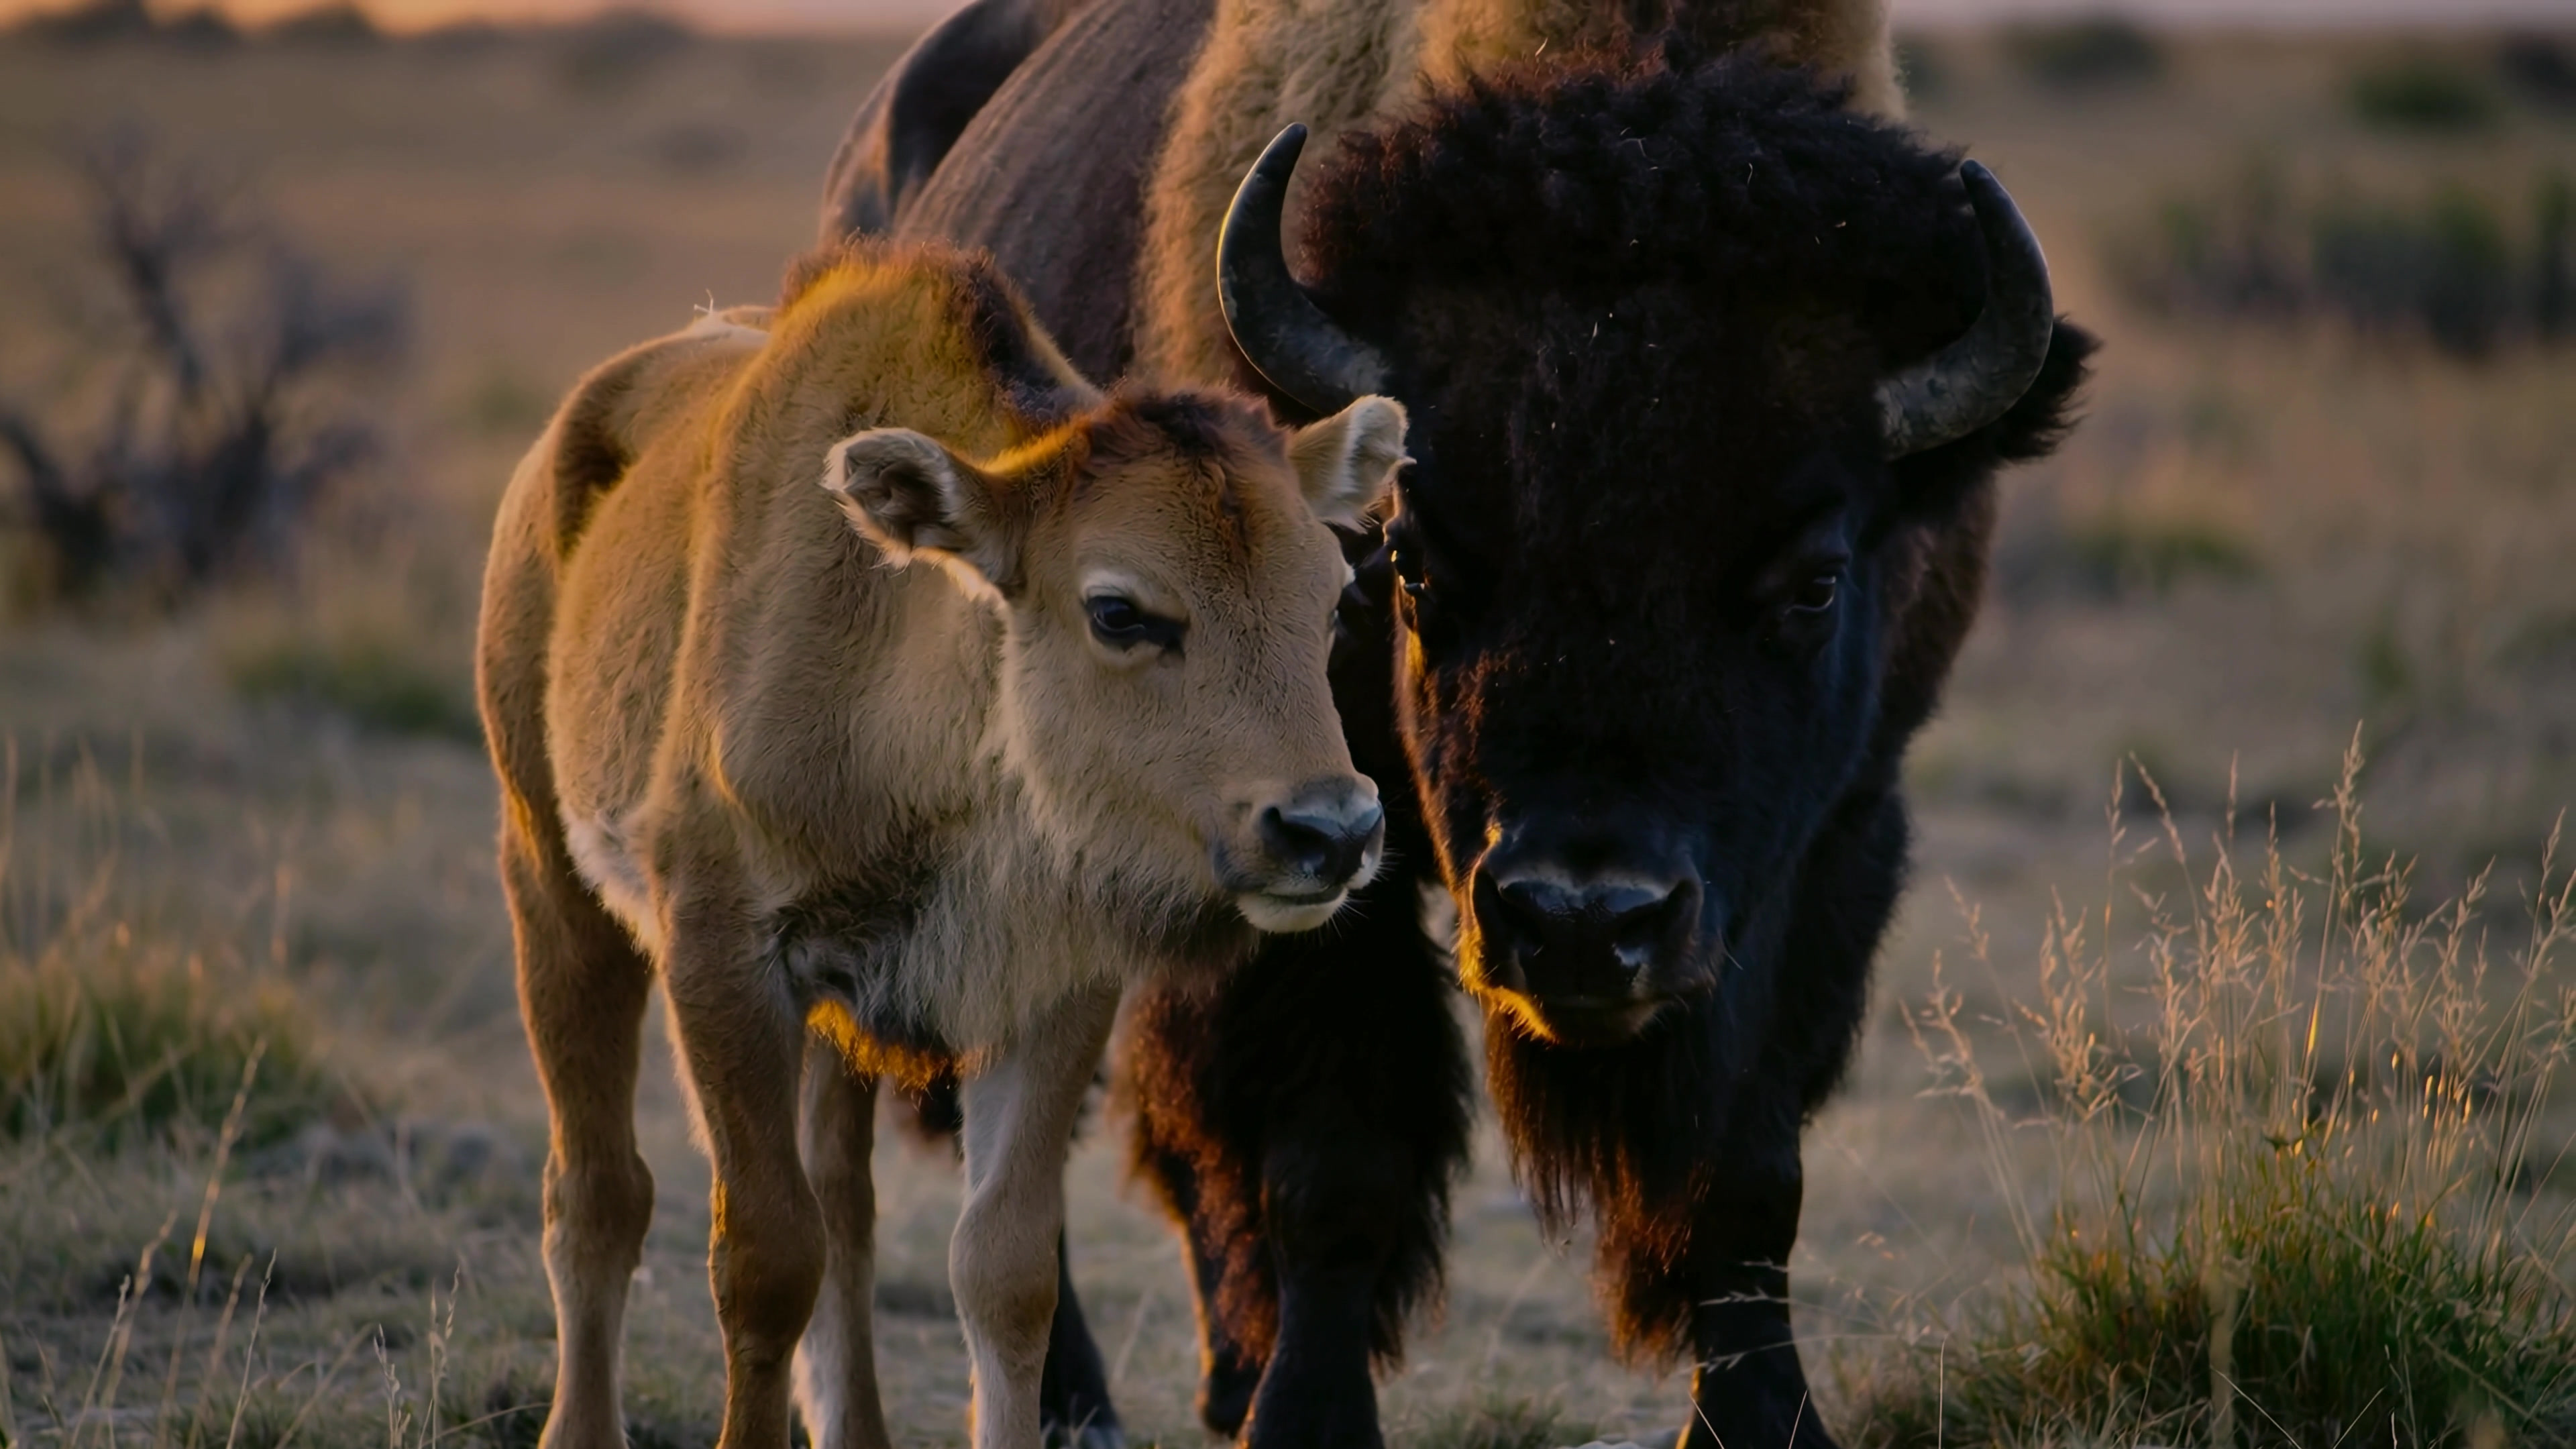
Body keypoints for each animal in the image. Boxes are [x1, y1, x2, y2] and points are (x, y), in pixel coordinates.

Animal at [473, 237, 1412, 1449]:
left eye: (1336, 598)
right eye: (1119, 611)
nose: (1330, 831)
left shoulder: (1053, 987)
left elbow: (1002, 1271)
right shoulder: (723, 959)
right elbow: (764, 1259)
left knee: (841, 1203)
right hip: (550, 883)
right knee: (597, 1190)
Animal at [818, 10, 2095, 1448]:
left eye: (1816, 581)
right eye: (1415, 560)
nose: (1581, 920)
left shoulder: (1834, 844)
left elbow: (1748, 1172)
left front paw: (1768, 1418)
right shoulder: (1313, 861)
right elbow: (1337, 1158)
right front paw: (1308, 1419)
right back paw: (1079, 1405)